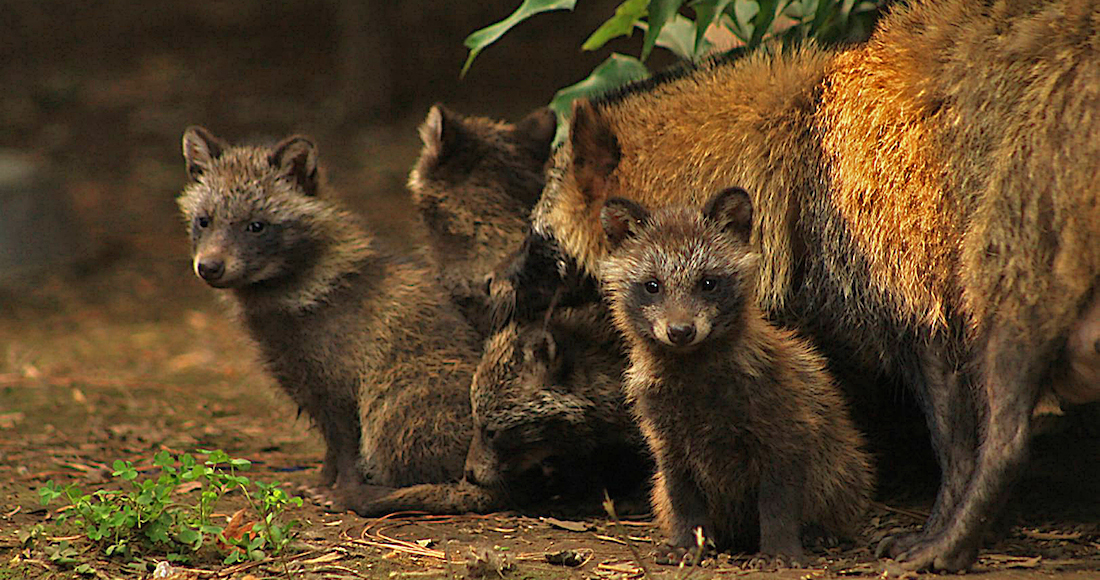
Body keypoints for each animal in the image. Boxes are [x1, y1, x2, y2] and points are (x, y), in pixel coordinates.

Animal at [176, 126, 477, 504]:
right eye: (204, 221)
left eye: (256, 226)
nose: (209, 267)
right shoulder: (307, 385)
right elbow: (332, 448)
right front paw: (323, 482)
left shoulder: (343, 384)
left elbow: (348, 449)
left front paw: (343, 489)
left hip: (398, 394)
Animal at [598, 187, 871, 567]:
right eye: (652, 286)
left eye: (708, 283)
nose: (680, 331)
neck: (695, 381)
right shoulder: (667, 443)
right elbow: (684, 501)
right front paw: (686, 544)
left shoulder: (786, 433)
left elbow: (777, 505)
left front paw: (779, 551)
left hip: (841, 466)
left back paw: (821, 532)